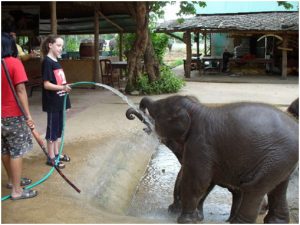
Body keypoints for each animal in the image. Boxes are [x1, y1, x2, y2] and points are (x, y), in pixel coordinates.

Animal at [127, 96, 298, 224]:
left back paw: (236, 222)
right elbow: (206, 181)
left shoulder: (201, 143)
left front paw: (185, 220)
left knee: (254, 188)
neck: (196, 108)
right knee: (278, 188)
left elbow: (198, 180)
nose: (133, 113)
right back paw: (276, 221)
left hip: (276, 157)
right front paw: (196, 218)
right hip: (281, 160)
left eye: (158, 112)